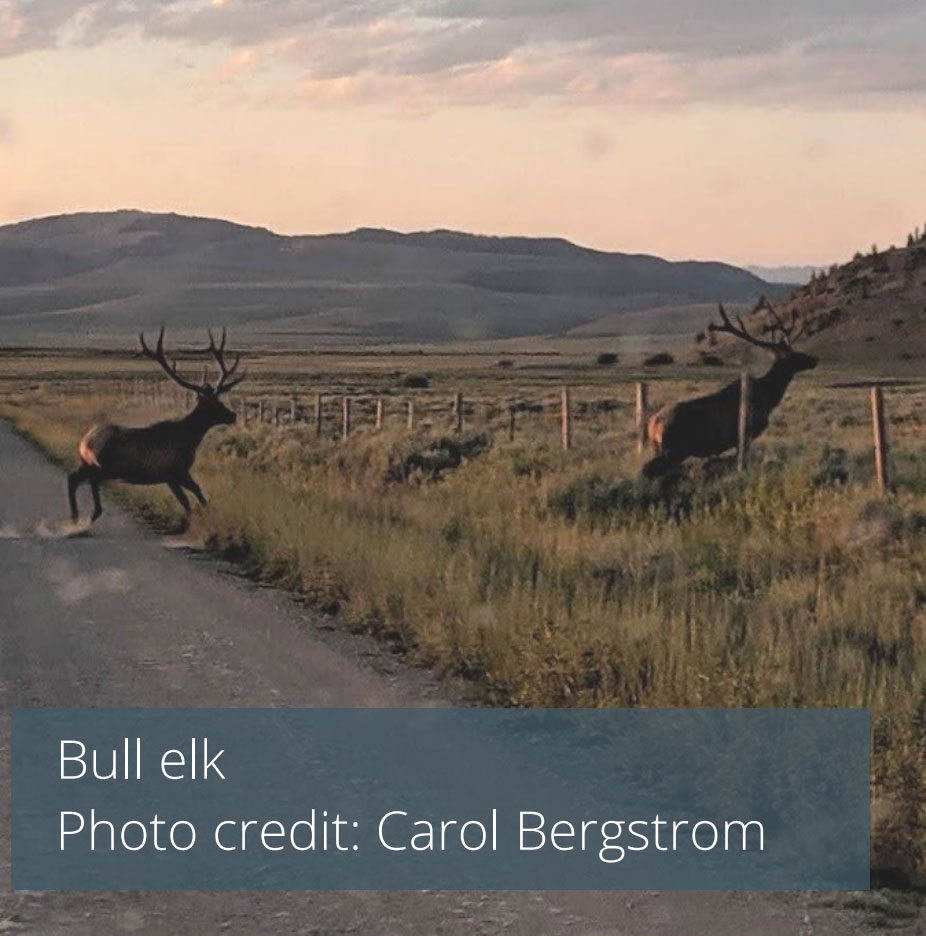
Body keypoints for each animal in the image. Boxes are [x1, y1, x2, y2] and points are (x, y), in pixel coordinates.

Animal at [68, 328, 246, 528]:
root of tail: (86, 442)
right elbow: (190, 501)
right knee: (89, 479)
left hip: (87, 462)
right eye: (214, 404)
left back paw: (75, 517)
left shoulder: (175, 476)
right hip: (106, 466)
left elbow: (197, 495)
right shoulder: (174, 473)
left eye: (220, 401)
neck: (190, 438)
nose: (232, 415)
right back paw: (91, 514)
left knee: (73, 477)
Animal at [644, 302, 820, 478]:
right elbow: (742, 461)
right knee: (648, 469)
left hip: (661, 449)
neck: (768, 398)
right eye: (793, 355)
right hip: (674, 449)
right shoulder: (746, 434)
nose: (814, 359)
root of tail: (653, 424)